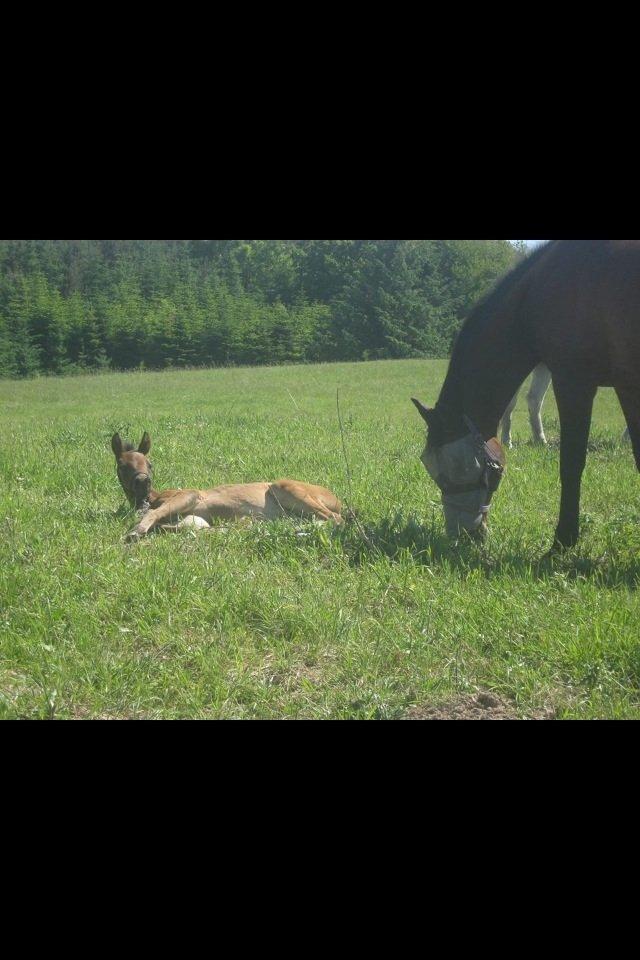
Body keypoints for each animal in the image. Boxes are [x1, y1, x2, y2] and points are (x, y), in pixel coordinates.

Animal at [109, 434, 344, 540]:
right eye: (122, 465)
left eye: (150, 464)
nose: (143, 483)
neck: (156, 497)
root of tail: (337, 499)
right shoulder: (194, 518)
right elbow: (187, 527)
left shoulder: (190, 495)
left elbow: (155, 516)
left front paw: (135, 531)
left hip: (285, 487)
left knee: (335, 518)